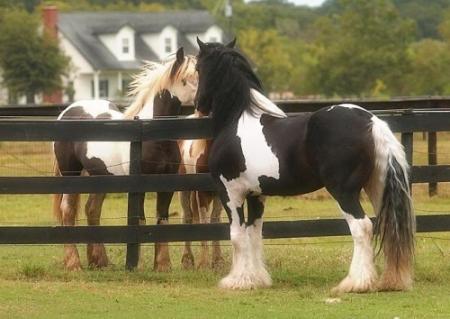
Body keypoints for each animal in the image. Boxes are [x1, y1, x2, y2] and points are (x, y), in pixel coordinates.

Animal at [52, 48, 197, 272]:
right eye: (186, 78)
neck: (151, 137)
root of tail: (67, 112)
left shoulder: (166, 185)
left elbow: (162, 221)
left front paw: (162, 265)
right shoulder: (139, 187)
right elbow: (140, 222)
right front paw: (136, 264)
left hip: (99, 177)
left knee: (92, 210)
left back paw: (99, 261)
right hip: (71, 174)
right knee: (67, 211)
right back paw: (74, 263)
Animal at [194, 39, 414, 296]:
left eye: (198, 68)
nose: (198, 104)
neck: (238, 121)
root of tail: (372, 122)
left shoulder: (230, 192)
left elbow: (238, 236)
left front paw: (237, 281)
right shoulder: (256, 195)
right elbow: (254, 233)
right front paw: (256, 278)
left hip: (344, 192)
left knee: (362, 227)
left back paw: (355, 283)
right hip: (377, 187)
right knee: (388, 226)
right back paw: (391, 281)